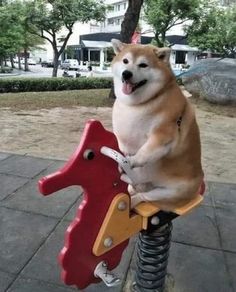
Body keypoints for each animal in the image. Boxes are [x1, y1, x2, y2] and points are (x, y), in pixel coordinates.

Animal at [111, 39, 204, 212]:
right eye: (125, 61)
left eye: (143, 65)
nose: (126, 73)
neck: (139, 105)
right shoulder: (124, 139)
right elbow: (123, 148)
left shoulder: (163, 136)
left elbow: (143, 153)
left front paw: (131, 162)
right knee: (137, 186)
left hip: (169, 192)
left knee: (144, 196)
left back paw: (131, 198)